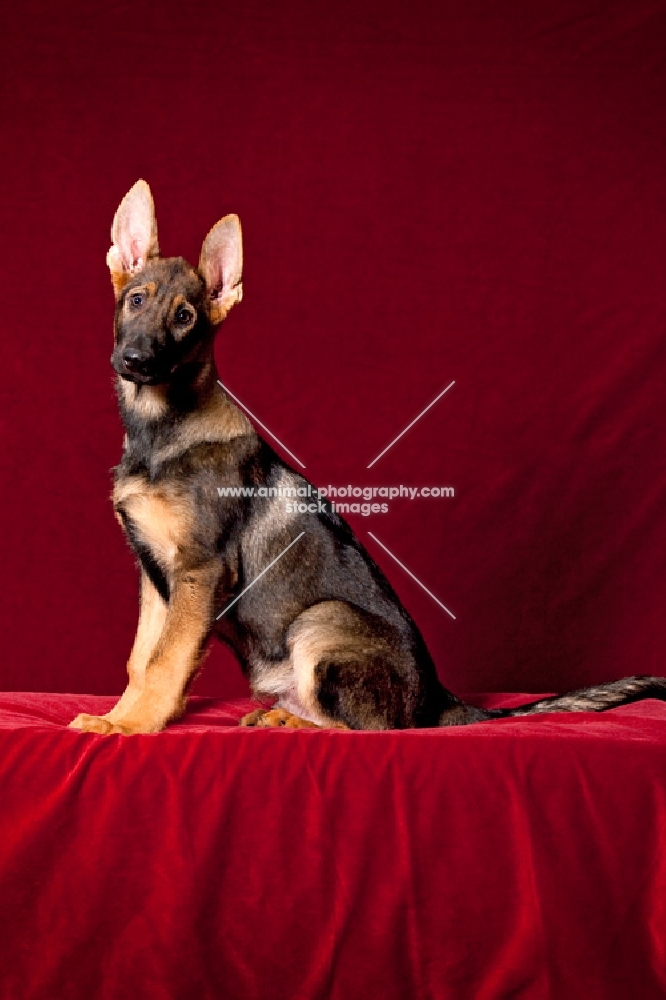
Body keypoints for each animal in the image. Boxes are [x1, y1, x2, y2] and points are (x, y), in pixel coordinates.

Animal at [68, 178, 664, 736]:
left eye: (186, 317)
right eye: (136, 300)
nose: (135, 360)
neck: (161, 427)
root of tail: (439, 699)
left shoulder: (201, 571)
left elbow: (165, 661)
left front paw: (132, 726)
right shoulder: (156, 579)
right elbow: (140, 660)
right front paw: (120, 715)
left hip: (321, 620)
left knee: (376, 726)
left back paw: (296, 722)